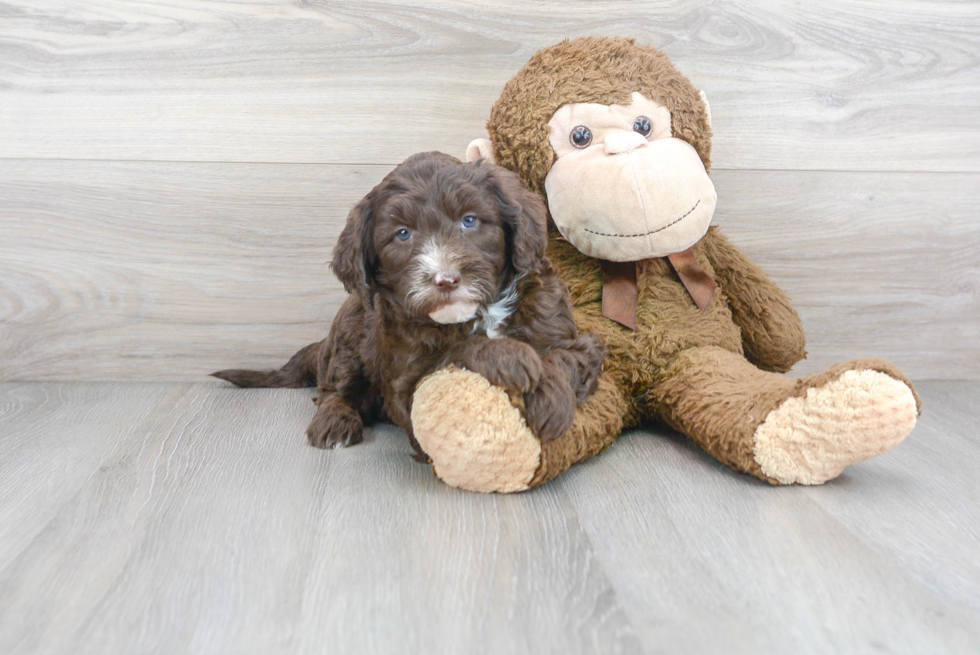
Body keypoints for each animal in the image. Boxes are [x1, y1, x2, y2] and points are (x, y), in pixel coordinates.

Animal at [214, 151, 604, 454]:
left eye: (469, 221)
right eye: (403, 234)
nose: (446, 280)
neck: (479, 313)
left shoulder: (569, 332)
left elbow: (564, 356)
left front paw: (552, 400)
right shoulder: (405, 379)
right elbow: (455, 351)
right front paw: (510, 357)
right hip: (349, 337)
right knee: (333, 390)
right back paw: (334, 422)